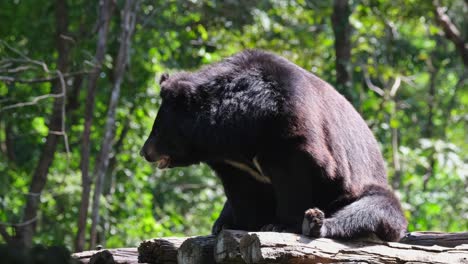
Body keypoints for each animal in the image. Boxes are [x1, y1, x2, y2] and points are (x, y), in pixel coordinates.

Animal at [141, 49, 408, 241]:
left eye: (158, 129)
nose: (145, 152)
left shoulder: (293, 133)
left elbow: (296, 180)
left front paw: (279, 225)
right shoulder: (233, 165)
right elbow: (242, 193)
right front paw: (240, 225)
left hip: (361, 188)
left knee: (371, 209)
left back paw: (315, 223)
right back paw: (220, 223)